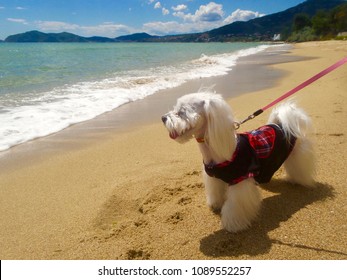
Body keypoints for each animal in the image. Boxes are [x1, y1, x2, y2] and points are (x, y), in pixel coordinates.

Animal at [162, 92, 316, 232]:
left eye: (182, 112)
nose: (163, 117)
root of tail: (282, 125)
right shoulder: (214, 177)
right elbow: (216, 191)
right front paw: (216, 204)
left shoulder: (240, 180)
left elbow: (234, 206)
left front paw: (233, 225)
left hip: (296, 153)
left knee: (299, 167)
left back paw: (298, 180)